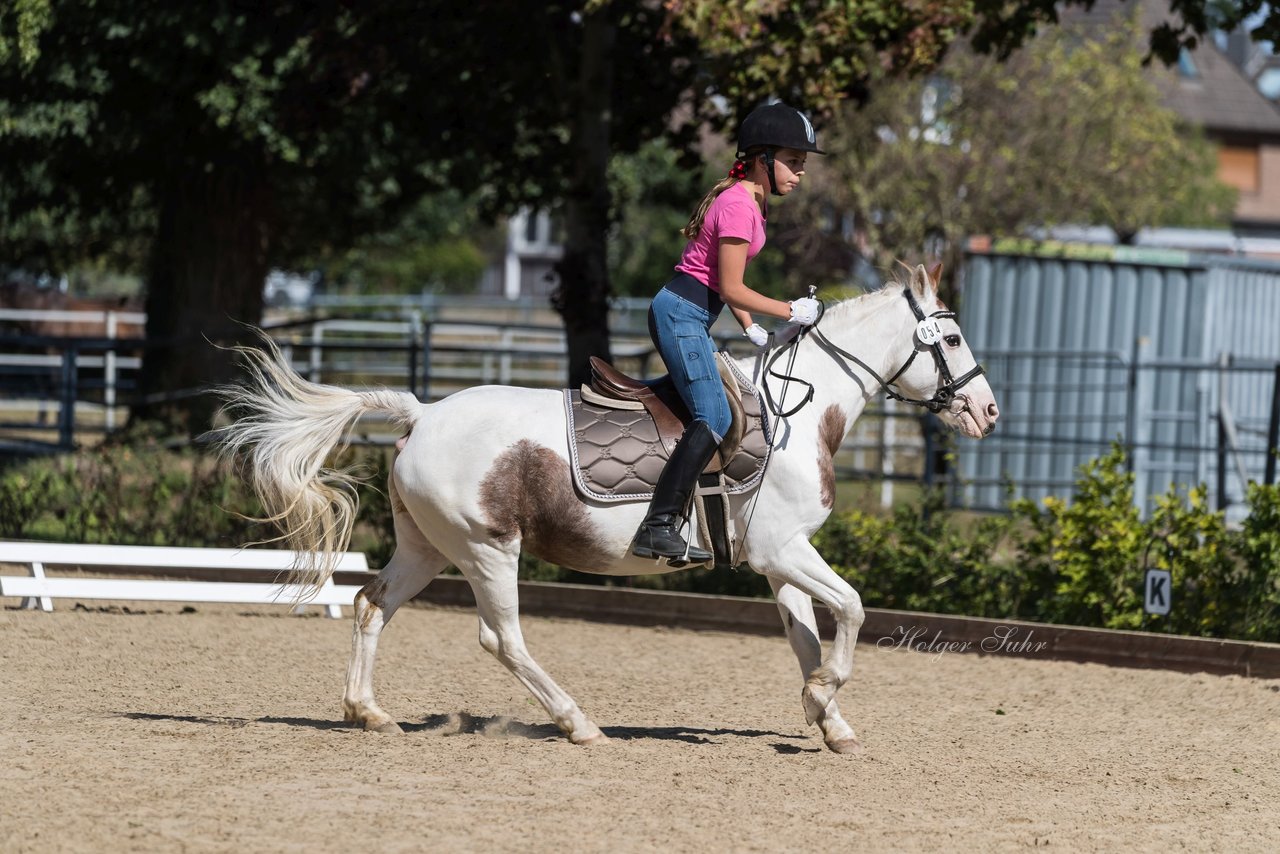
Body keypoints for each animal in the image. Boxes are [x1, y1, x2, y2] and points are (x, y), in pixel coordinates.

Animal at [215, 262, 998, 752]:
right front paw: (824, 695)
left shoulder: (780, 559)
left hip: (428, 547)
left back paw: (369, 713)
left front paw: (826, 717)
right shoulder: (783, 550)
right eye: (954, 337)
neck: (798, 413)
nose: (988, 412)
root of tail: (422, 412)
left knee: (372, 604)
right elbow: (855, 608)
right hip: (488, 548)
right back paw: (577, 723)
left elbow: (807, 634)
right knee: (502, 639)